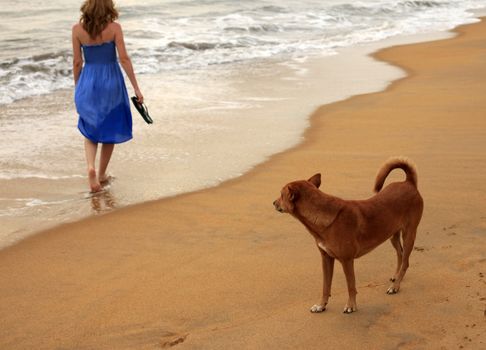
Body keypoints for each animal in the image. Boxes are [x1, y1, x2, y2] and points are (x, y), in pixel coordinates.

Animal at [274, 157, 426, 314]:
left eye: (281, 195)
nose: (273, 203)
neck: (324, 217)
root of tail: (409, 182)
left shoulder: (347, 260)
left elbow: (351, 285)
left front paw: (351, 305)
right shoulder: (326, 258)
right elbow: (325, 286)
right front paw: (321, 305)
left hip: (409, 234)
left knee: (406, 261)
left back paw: (395, 287)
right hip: (392, 234)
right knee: (400, 254)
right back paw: (396, 278)